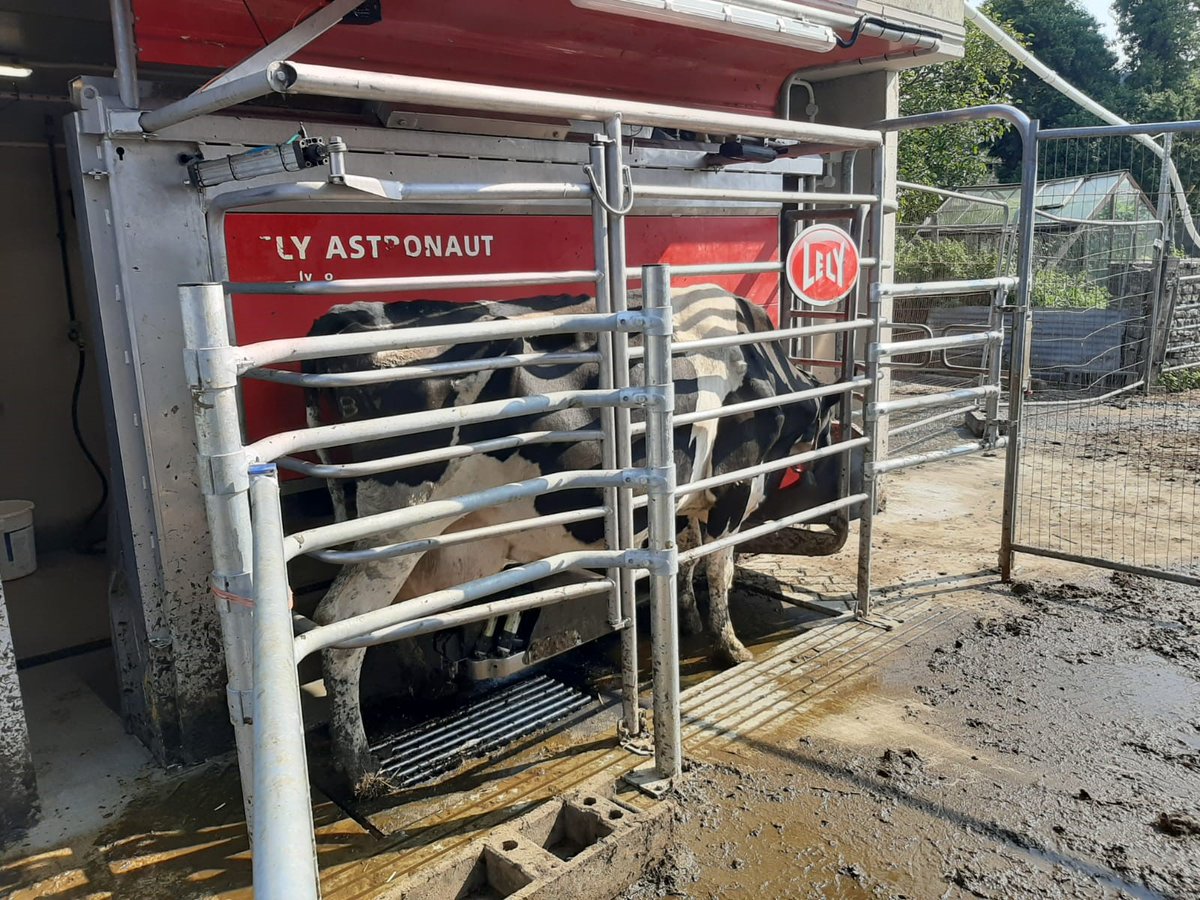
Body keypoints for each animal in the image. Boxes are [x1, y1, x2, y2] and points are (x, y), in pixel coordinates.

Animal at [303, 285, 843, 793]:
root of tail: (353, 314)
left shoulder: (690, 499)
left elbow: (688, 559)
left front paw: (686, 617)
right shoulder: (735, 486)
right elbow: (718, 568)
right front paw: (731, 648)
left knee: (389, 618)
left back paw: (422, 690)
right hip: (398, 522)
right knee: (340, 622)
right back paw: (359, 766)